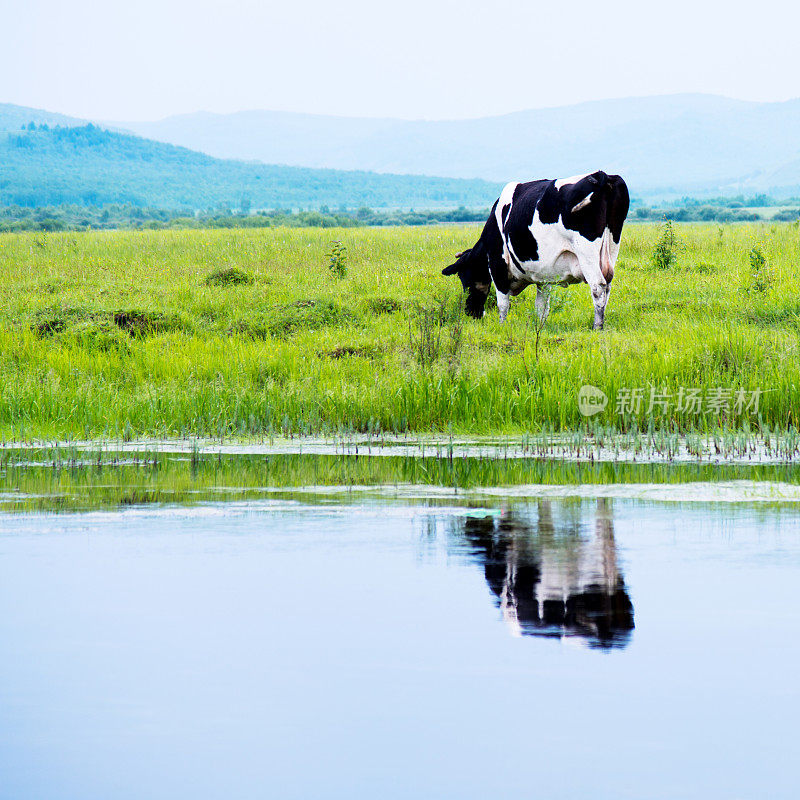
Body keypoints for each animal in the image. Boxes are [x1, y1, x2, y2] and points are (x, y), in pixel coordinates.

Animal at [440, 170, 628, 330]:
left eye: (463, 276)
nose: (470, 312)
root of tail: (601, 175)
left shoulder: (497, 262)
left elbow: (503, 303)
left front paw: (502, 326)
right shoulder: (544, 276)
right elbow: (541, 306)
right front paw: (540, 327)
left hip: (587, 253)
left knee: (598, 286)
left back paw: (597, 326)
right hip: (611, 249)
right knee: (607, 285)